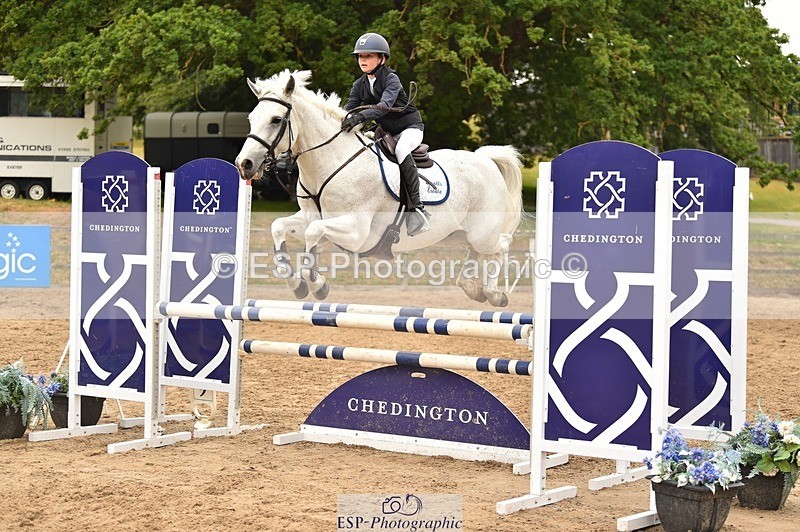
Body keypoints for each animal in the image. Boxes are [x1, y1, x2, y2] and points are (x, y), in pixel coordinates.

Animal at [235, 69, 524, 307]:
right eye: (251, 118)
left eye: (275, 120)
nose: (244, 164)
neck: (332, 162)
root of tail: (486, 160)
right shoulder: (310, 217)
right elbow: (280, 226)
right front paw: (297, 284)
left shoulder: (356, 231)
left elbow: (313, 233)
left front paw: (317, 284)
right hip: (462, 233)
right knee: (477, 253)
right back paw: (473, 288)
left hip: (483, 232)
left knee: (501, 246)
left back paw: (495, 293)